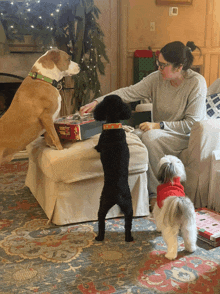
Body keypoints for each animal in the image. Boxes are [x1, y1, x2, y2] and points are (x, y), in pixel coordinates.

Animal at [93, 95, 133, 242]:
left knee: (101, 222)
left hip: (103, 203)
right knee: (127, 224)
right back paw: (128, 238)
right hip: (127, 207)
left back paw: (99, 237)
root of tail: (117, 195)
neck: (113, 126)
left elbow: (97, 146)